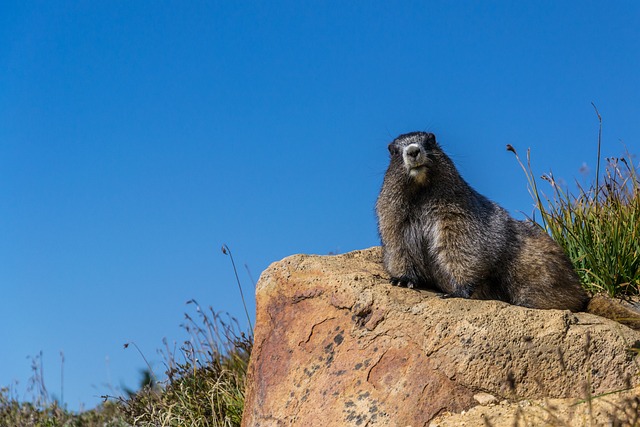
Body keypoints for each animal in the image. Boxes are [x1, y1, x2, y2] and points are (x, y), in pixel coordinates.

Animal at [375, 131, 588, 311]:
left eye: (430, 141)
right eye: (394, 151)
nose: (413, 150)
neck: (421, 192)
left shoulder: (456, 212)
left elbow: (461, 246)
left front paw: (456, 291)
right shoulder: (392, 214)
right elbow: (398, 244)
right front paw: (402, 279)